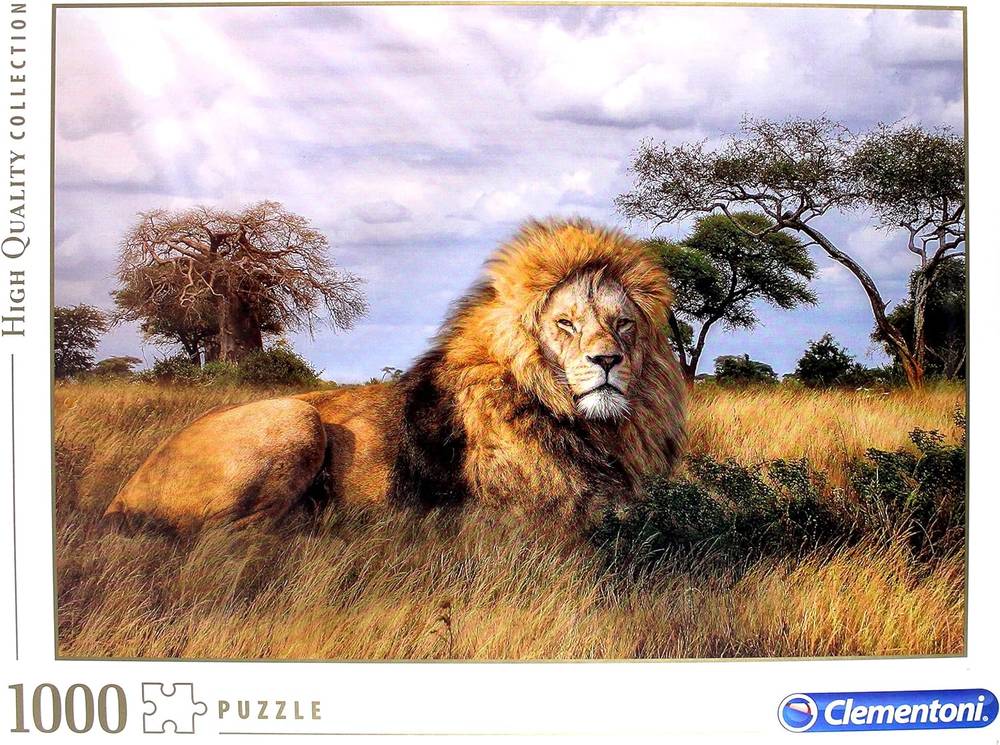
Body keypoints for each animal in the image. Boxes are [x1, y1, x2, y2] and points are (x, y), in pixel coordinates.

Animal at [104, 219, 688, 532]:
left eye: (623, 324)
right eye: (565, 323)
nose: (607, 361)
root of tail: (123, 491)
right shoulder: (531, 524)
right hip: (293, 415)